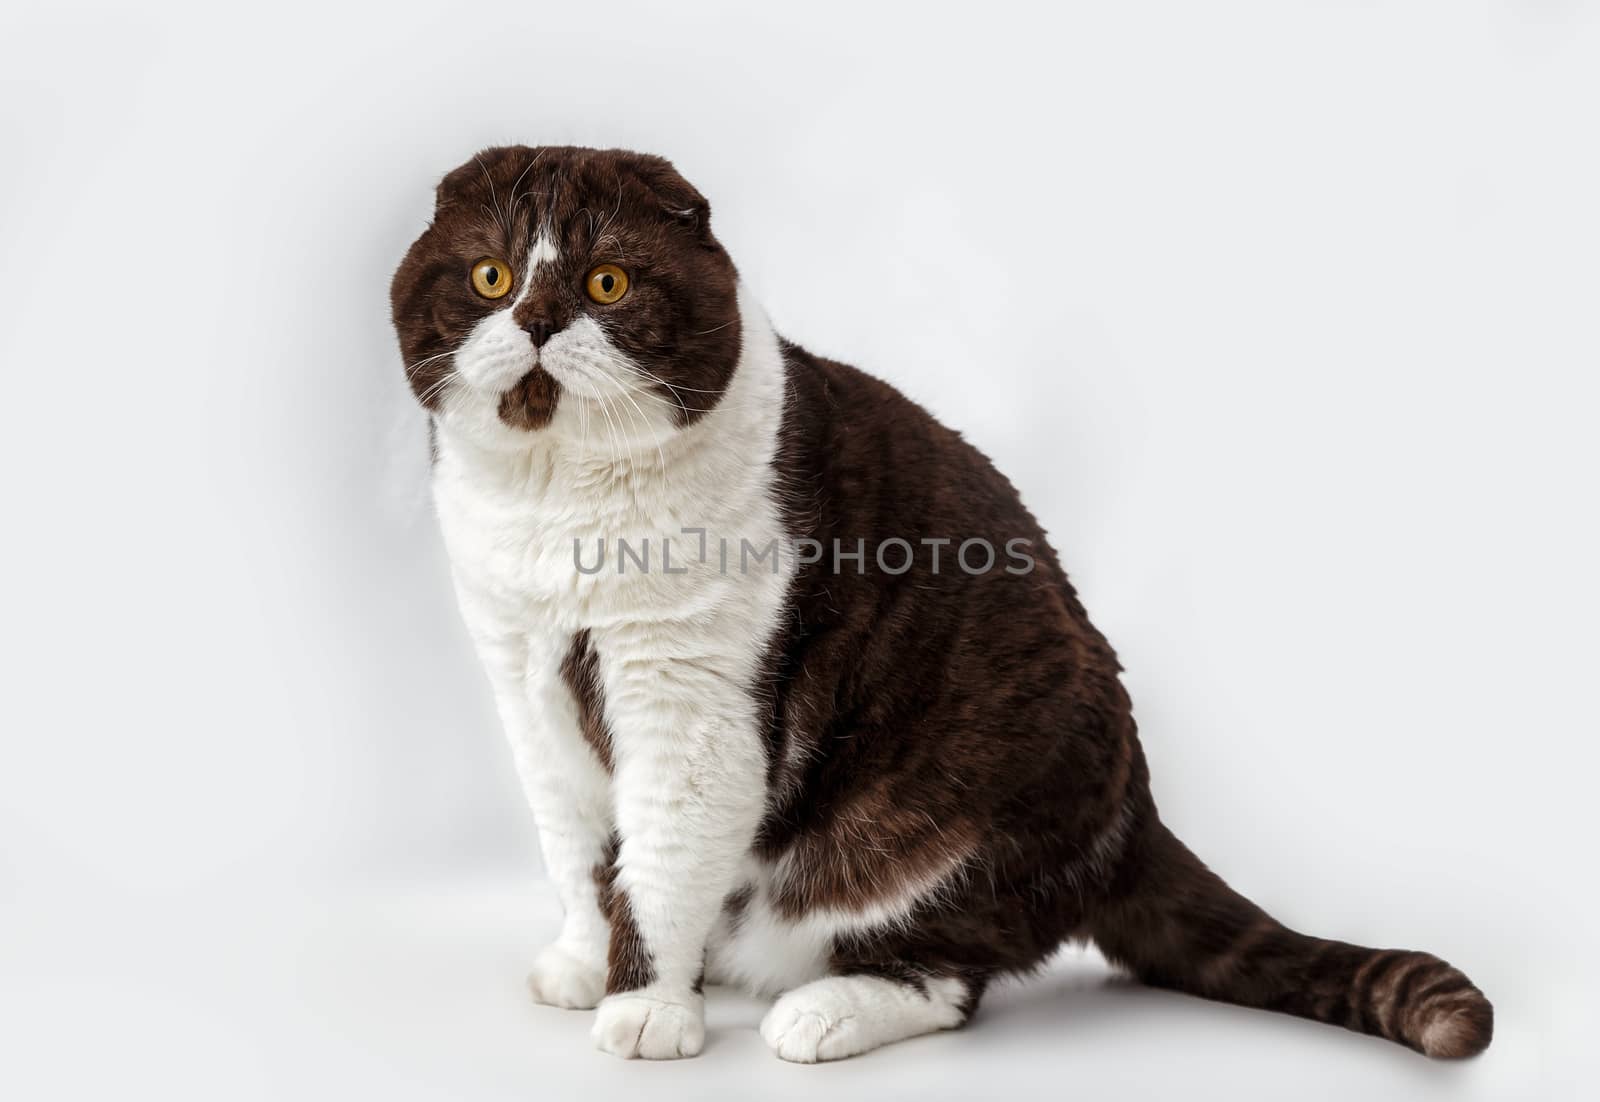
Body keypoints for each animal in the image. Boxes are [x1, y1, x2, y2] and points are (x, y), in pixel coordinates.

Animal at [393, 143, 1491, 1055]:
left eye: (607, 282)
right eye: (491, 275)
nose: (537, 320)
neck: (554, 507)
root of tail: (1136, 815)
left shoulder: (689, 706)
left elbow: (657, 863)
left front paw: (649, 1009)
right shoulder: (527, 688)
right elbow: (580, 850)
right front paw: (586, 965)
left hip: (955, 810)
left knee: (947, 976)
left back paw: (821, 1011)